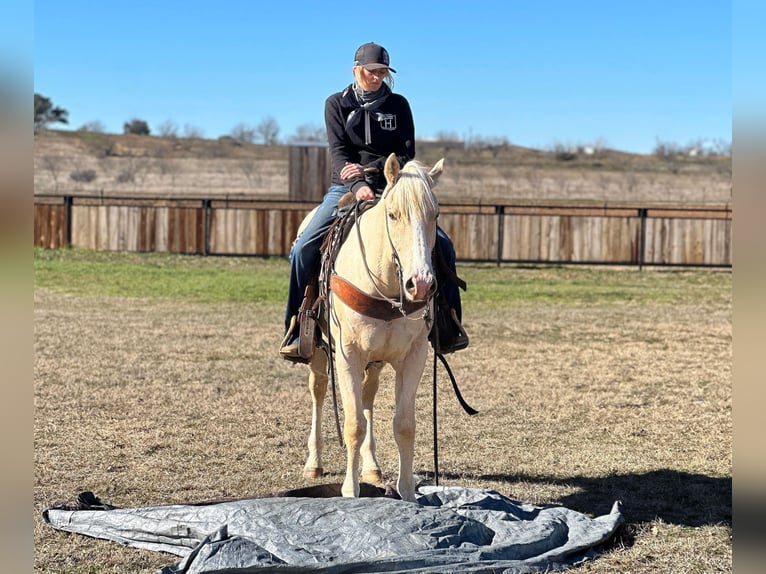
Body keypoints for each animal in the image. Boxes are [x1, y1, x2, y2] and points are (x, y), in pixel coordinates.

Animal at [300, 154, 444, 504]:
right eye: (393, 214)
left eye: (435, 214)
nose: (421, 284)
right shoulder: (347, 354)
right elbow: (353, 425)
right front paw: (351, 492)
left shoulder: (414, 356)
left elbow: (404, 425)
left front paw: (407, 494)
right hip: (318, 351)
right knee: (318, 391)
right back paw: (314, 464)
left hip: (375, 361)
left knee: (368, 396)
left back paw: (372, 467)